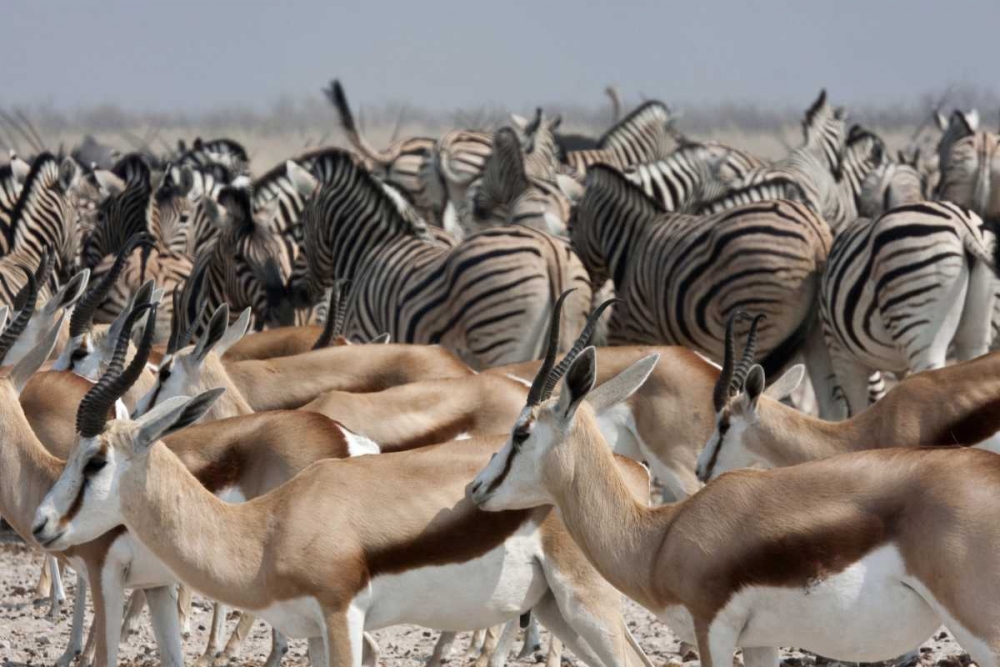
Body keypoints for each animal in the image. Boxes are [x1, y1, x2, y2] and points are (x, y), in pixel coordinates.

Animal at [286, 149, 588, 368]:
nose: (294, 293)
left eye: (301, 227)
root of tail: (549, 252)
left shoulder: (364, 334)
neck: (367, 251)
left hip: (502, 345)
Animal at [572, 164, 836, 384]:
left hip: (754, 324)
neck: (633, 245)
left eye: (573, 220)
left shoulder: (639, 329)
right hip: (819, 337)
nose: (588, 284)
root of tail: (815, 236)